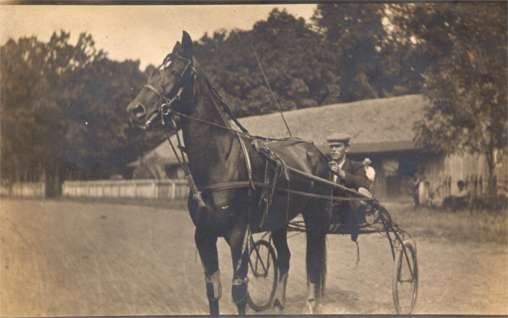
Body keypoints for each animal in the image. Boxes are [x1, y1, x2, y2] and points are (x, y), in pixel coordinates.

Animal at [127, 31, 334, 314]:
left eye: (176, 72)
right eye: (154, 71)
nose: (135, 110)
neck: (220, 163)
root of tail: (315, 152)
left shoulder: (239, 237)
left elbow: (239, 293)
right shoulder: (203, 235)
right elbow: (213, 291)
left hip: (315, 215)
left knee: (313, 261)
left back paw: (310, 305)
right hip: (279, 220)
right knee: (285, 258)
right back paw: (278, 304)